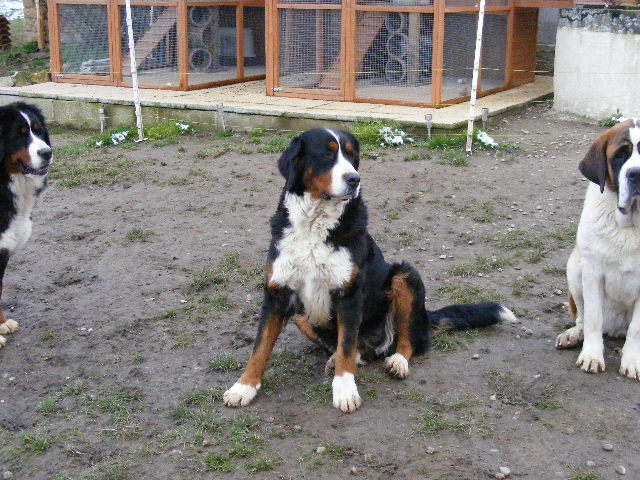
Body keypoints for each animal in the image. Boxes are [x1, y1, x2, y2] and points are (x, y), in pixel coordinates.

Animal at [222, 127, 516, 412]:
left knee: (405, 341)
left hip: (406, 276)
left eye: (352, 156)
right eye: (326, 155)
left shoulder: (349, 293)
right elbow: (260, 347)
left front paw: (345, 391)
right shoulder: (277, 291)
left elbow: (346, 344)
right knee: (360, 349)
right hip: (301, 314)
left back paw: (397, 362)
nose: (355, 179)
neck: (315, 223)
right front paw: (243, 387)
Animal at [556, 118, 640, 380]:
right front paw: (591, 356)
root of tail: (614, 329)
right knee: (584, 318)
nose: (637, 174)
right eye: (620, 155)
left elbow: (636, 329)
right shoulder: (592, 272)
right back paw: (574, 335)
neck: (631, 226)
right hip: (575, 265)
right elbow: (593, 317)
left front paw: (633, 361)